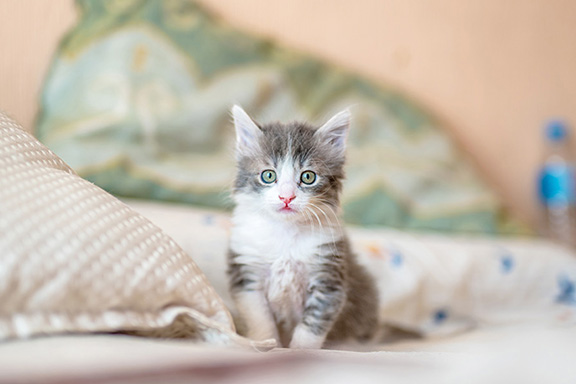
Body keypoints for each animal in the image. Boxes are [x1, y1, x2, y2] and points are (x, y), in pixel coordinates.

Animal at [227, 105, 380, 348]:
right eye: (268, 175)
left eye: (308, 177)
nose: (286, 197)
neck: (286, 233)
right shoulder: (247, 274)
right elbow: (260, 319)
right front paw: (267, 344)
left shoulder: (329, 277)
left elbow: (312, 326)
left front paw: (299, 350)